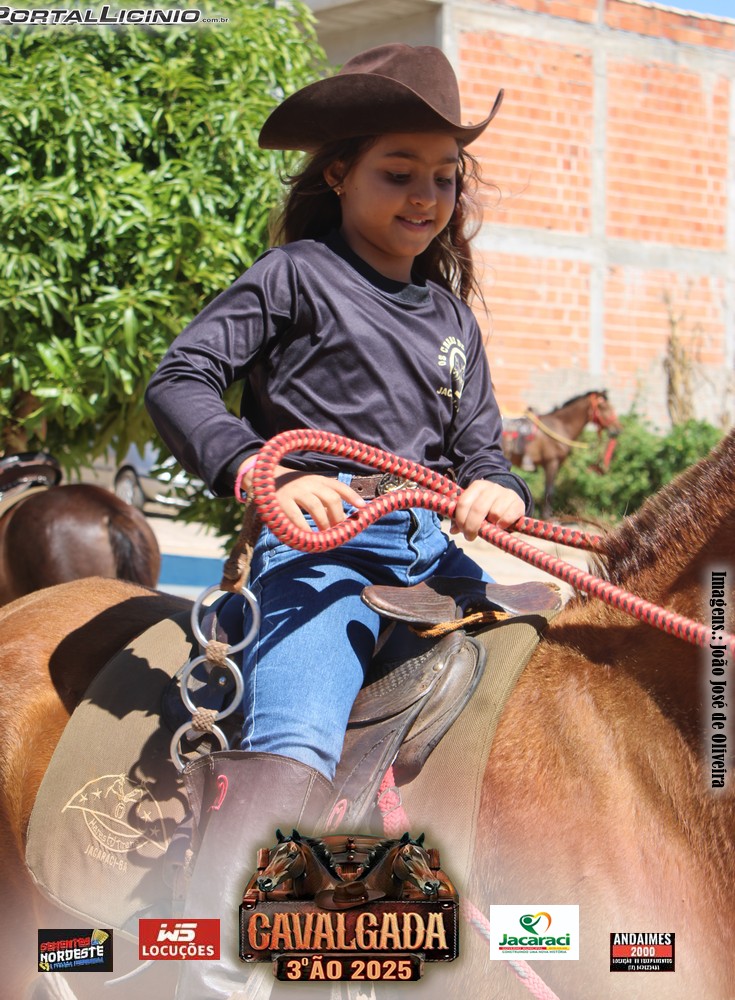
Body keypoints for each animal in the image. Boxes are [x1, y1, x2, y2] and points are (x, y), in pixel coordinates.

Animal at [502, 389, 621, 518]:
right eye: (603, 406)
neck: (560, 426)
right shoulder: (551, 463)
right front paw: (547, 516)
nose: (617, 429)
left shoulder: (557, 464)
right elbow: (549, 491)